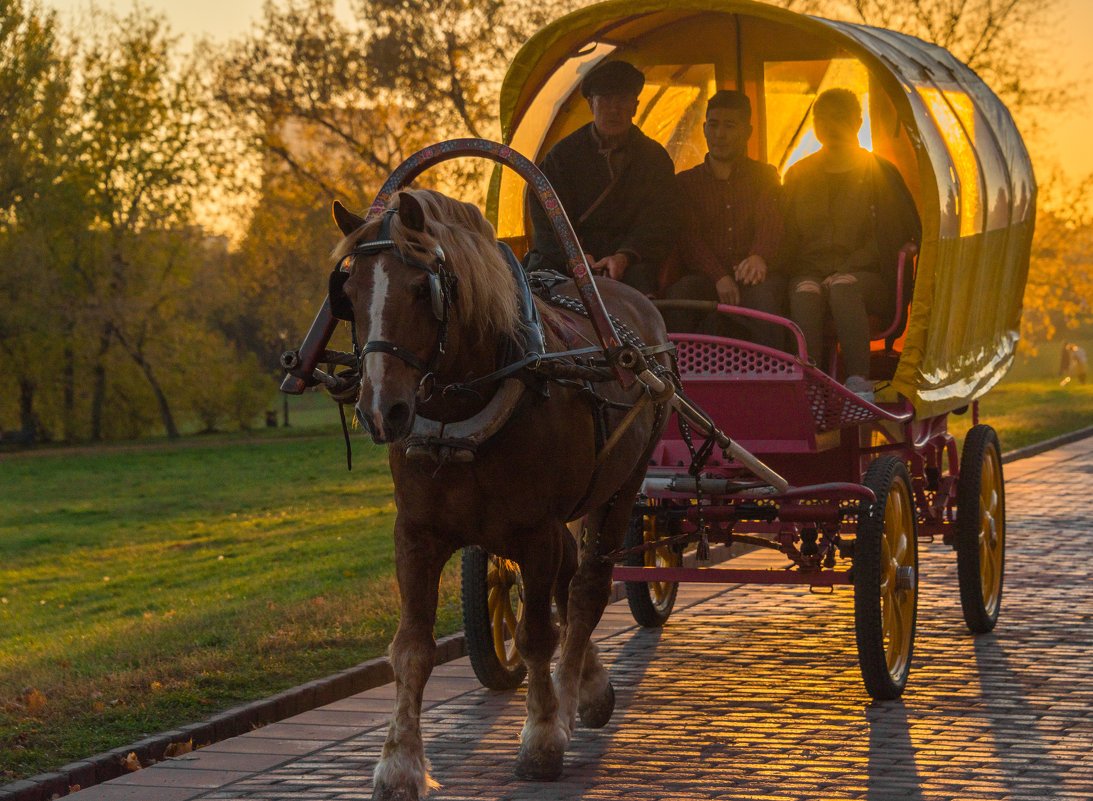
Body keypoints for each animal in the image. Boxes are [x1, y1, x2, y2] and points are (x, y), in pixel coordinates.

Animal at [327, 189, 673, 799]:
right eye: (349, 294)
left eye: (421, 290)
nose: (381, 409)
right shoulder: (415, 534)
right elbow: (411, 649)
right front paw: (399, 764)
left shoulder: (533, 533)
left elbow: (537, 635)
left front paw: (542, 736)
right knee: (569, 576)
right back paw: (589, 684)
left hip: (622, 488)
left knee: (586, 588)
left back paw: (571, 697)